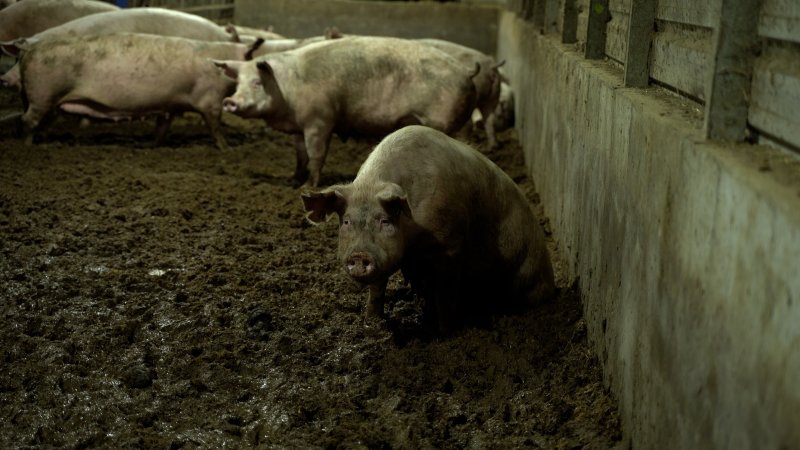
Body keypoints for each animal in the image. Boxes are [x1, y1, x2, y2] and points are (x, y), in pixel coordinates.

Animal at [18, 34, 266, 149]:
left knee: (43, 121)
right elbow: (215, 126)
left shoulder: (170, 105)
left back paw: (45, 142)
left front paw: (149, 145)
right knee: (27, 120)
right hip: (42, 93)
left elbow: (162, 127)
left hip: (50, 102)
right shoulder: (210, 100)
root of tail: (29, 50)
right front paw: (228, 148)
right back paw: (28, 146)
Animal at [212, 35, 478, 188]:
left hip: (443, 121)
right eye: (237, 82)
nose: (230, 101)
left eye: (257, 82)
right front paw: (293, 181)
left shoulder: (320, 121)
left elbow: (316, 154)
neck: (287, 89)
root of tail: (466, 72)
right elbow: (300, 155)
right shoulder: (299, 127)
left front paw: (309, 187)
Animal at [300, 125, 556, 332]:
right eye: (346, 222)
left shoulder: (451, 246)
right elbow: (377, 288)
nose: (360, 255)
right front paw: (371, 322)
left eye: (385, 220)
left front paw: (446, 332)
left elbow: (446, 294)